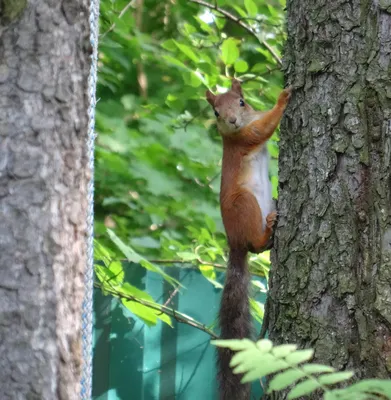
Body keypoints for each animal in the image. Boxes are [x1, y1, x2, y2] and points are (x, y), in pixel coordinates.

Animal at [207, 79, 292, 398]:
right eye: (216, 112)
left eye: (241, 102)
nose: (231, 121)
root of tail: (234, 242)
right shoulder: (245, 137)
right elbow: (265, 127)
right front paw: (283, 98)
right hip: (245, 204)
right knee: (255, 246)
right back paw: (268, 229)